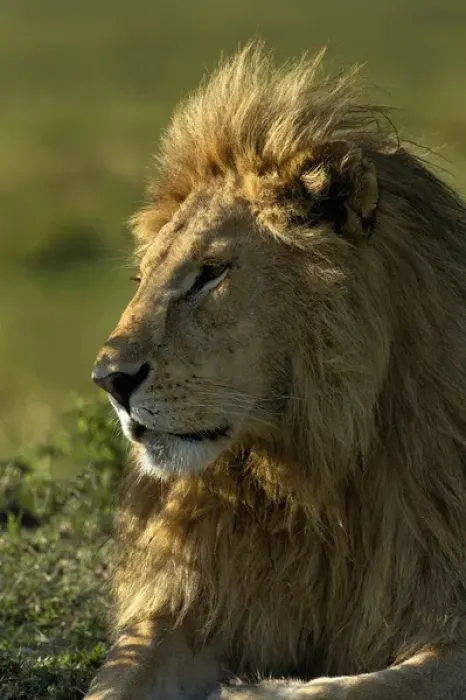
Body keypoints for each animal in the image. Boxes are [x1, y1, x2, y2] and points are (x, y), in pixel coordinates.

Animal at [87, 44, 466, 700]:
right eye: (142, 277)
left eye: (210, 273)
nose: (108, 380)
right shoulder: (203, 599)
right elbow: (114, 680)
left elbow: (363, 686)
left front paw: (253, 689)